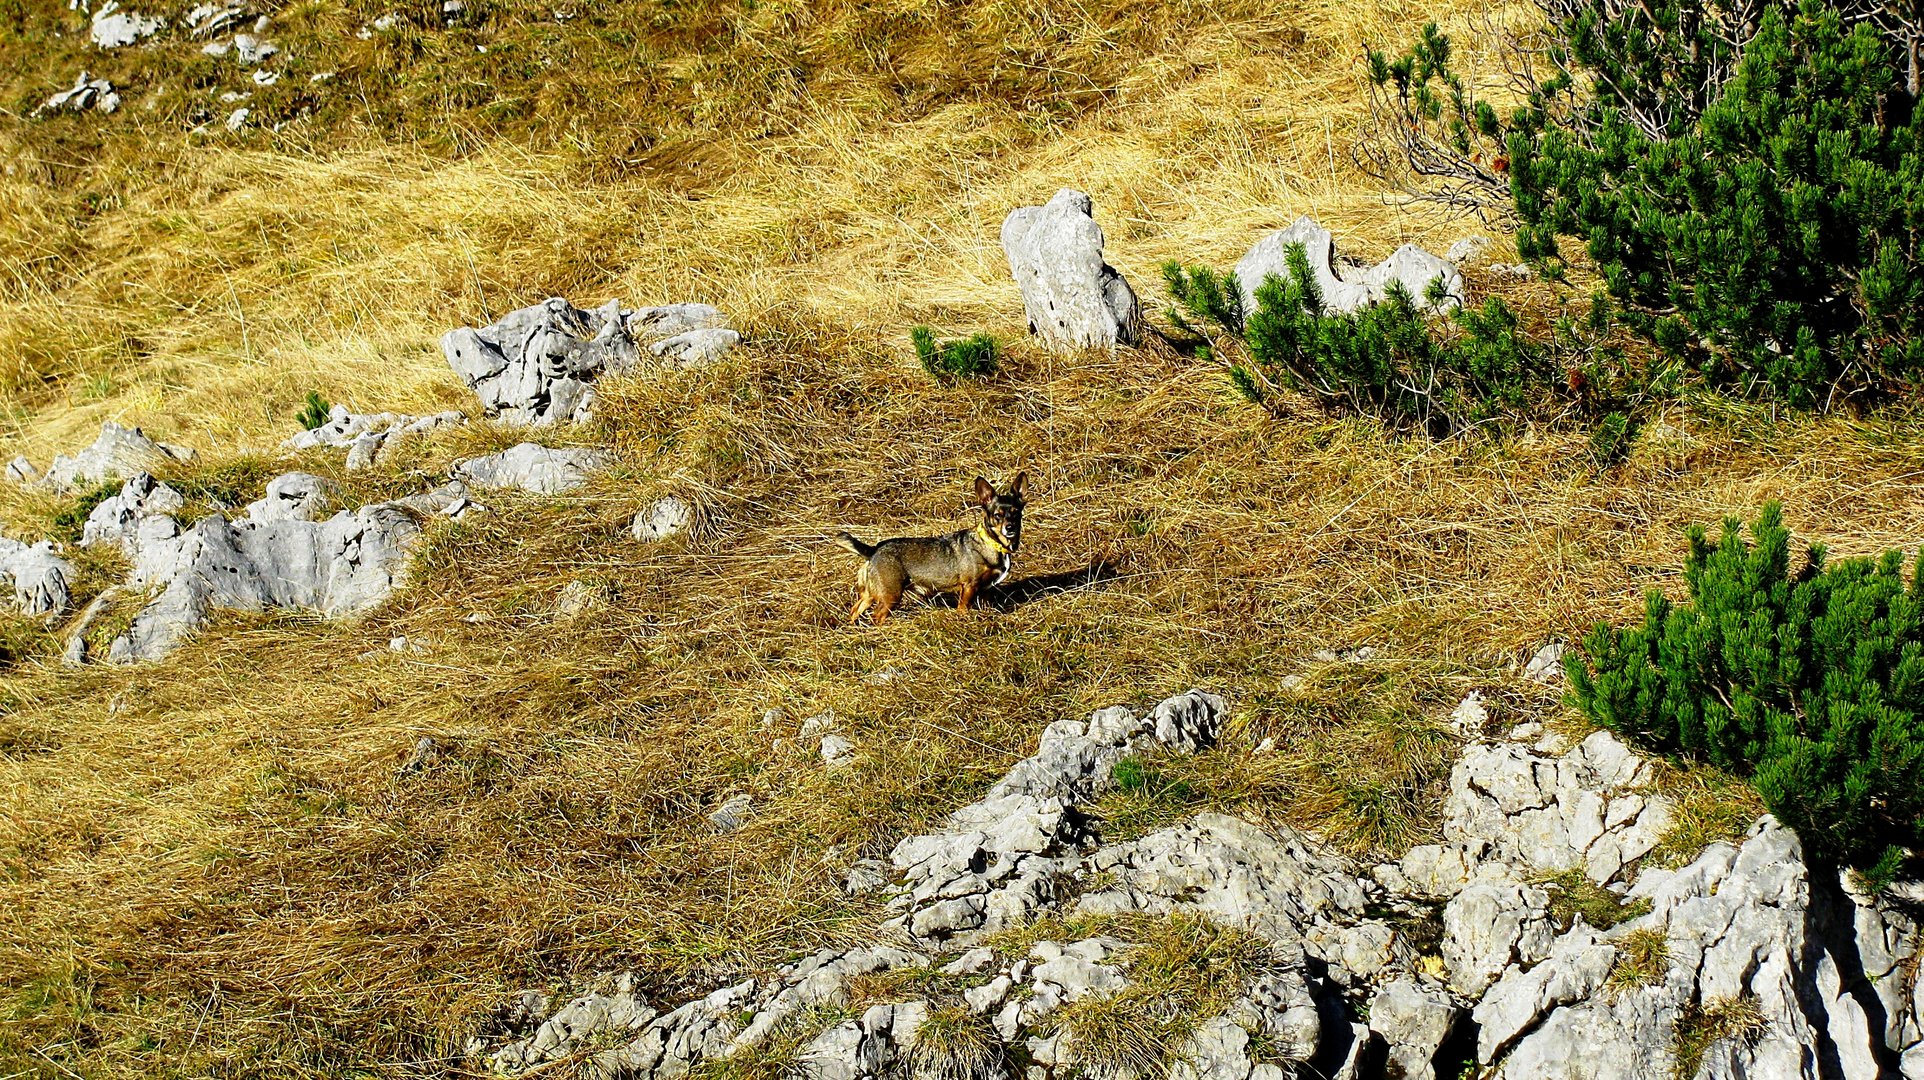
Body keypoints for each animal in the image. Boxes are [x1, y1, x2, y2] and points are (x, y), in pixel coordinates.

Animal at [835, 471, 1031, 623]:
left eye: (1016, 513)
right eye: (997, 515)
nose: (1010, 528)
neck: (992, 544)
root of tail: (874, 550)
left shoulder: (986, 590)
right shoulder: (969, 587)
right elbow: (963, 609)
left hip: (871, 595)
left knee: (854, 610)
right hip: (891, 596)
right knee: (877, 617)